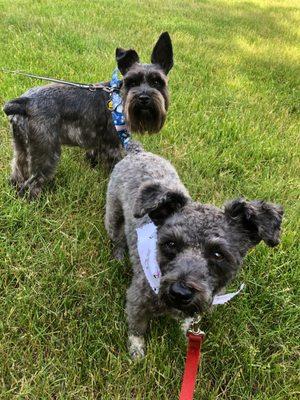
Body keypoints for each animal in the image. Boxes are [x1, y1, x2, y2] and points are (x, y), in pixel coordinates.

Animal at [2, 32, 172, 198]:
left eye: (157, 82)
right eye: (132, 82)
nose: (143, 98)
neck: (120, 98)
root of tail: (25, 102)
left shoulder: (98, 142)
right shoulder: (113, 146)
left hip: (21, 147)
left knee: (18, 171)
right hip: (46, 153)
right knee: (31, 184)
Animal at [105, 142, 284, 358]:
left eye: (218, 254)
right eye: (170, 244)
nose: (180, 292)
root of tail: (137, 151)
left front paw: (185, 333)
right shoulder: (137, 300)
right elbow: (136, 329)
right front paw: (137, 352)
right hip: (113, 212)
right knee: (116, 235)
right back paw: (118, 255)